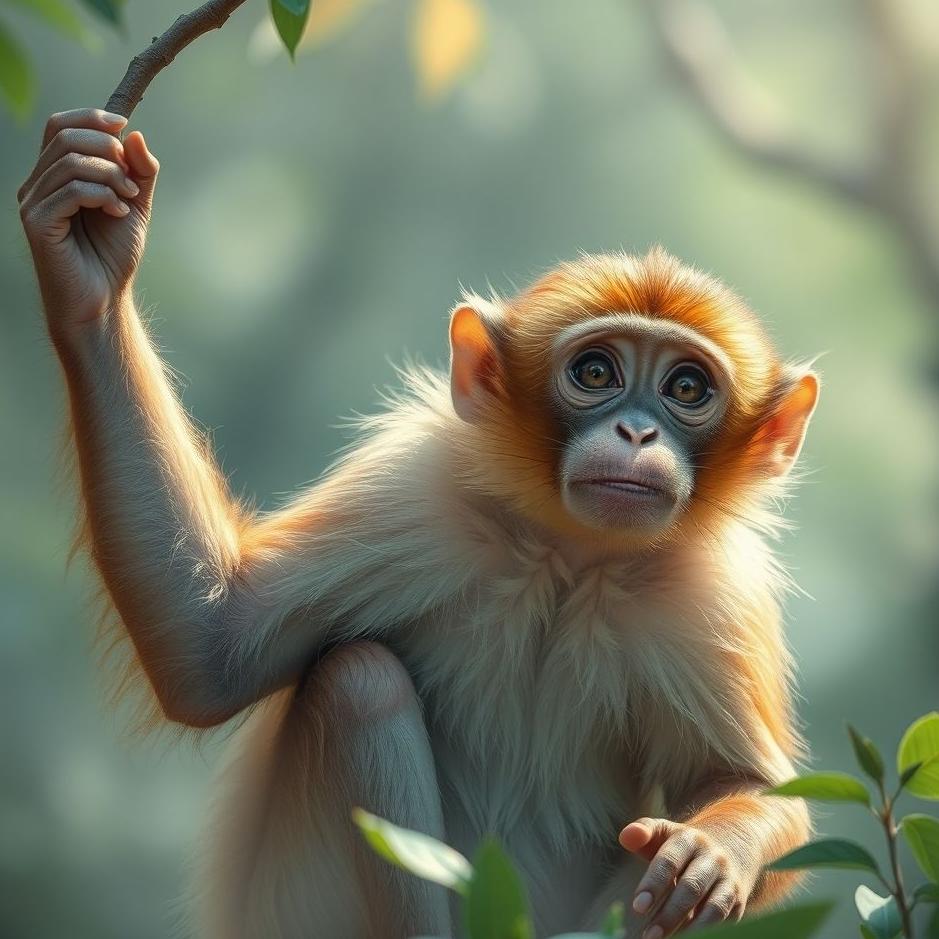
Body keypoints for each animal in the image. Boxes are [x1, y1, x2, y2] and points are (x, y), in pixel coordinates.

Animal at [19, 108, 819, 939]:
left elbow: (746, 788)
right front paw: (88, 261)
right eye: (596, 372)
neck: (567, 559)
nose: (636, 432)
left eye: (686, 387)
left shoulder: (708, 594)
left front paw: (712, 851)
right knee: (358, 682)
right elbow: (211, 650)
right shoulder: (417, 496)